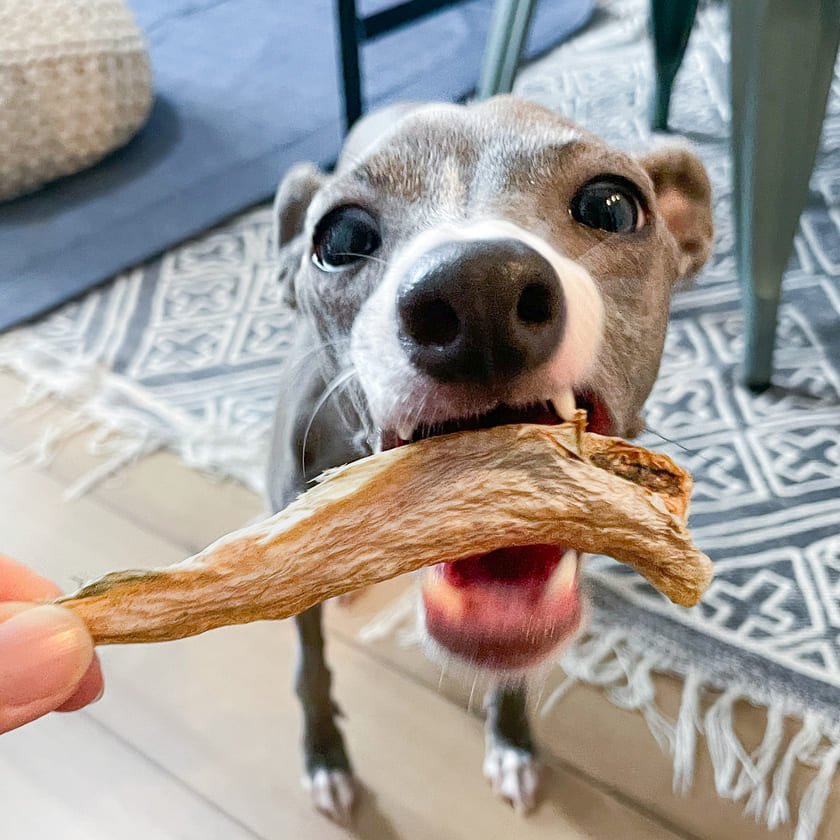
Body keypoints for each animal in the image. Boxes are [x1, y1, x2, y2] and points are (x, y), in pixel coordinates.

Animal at [266, 97, 712, 820]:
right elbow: (309, 664)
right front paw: (324, 756)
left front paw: (513, 741)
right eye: (339, 237)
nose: (478, 291)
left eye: (612, 205)